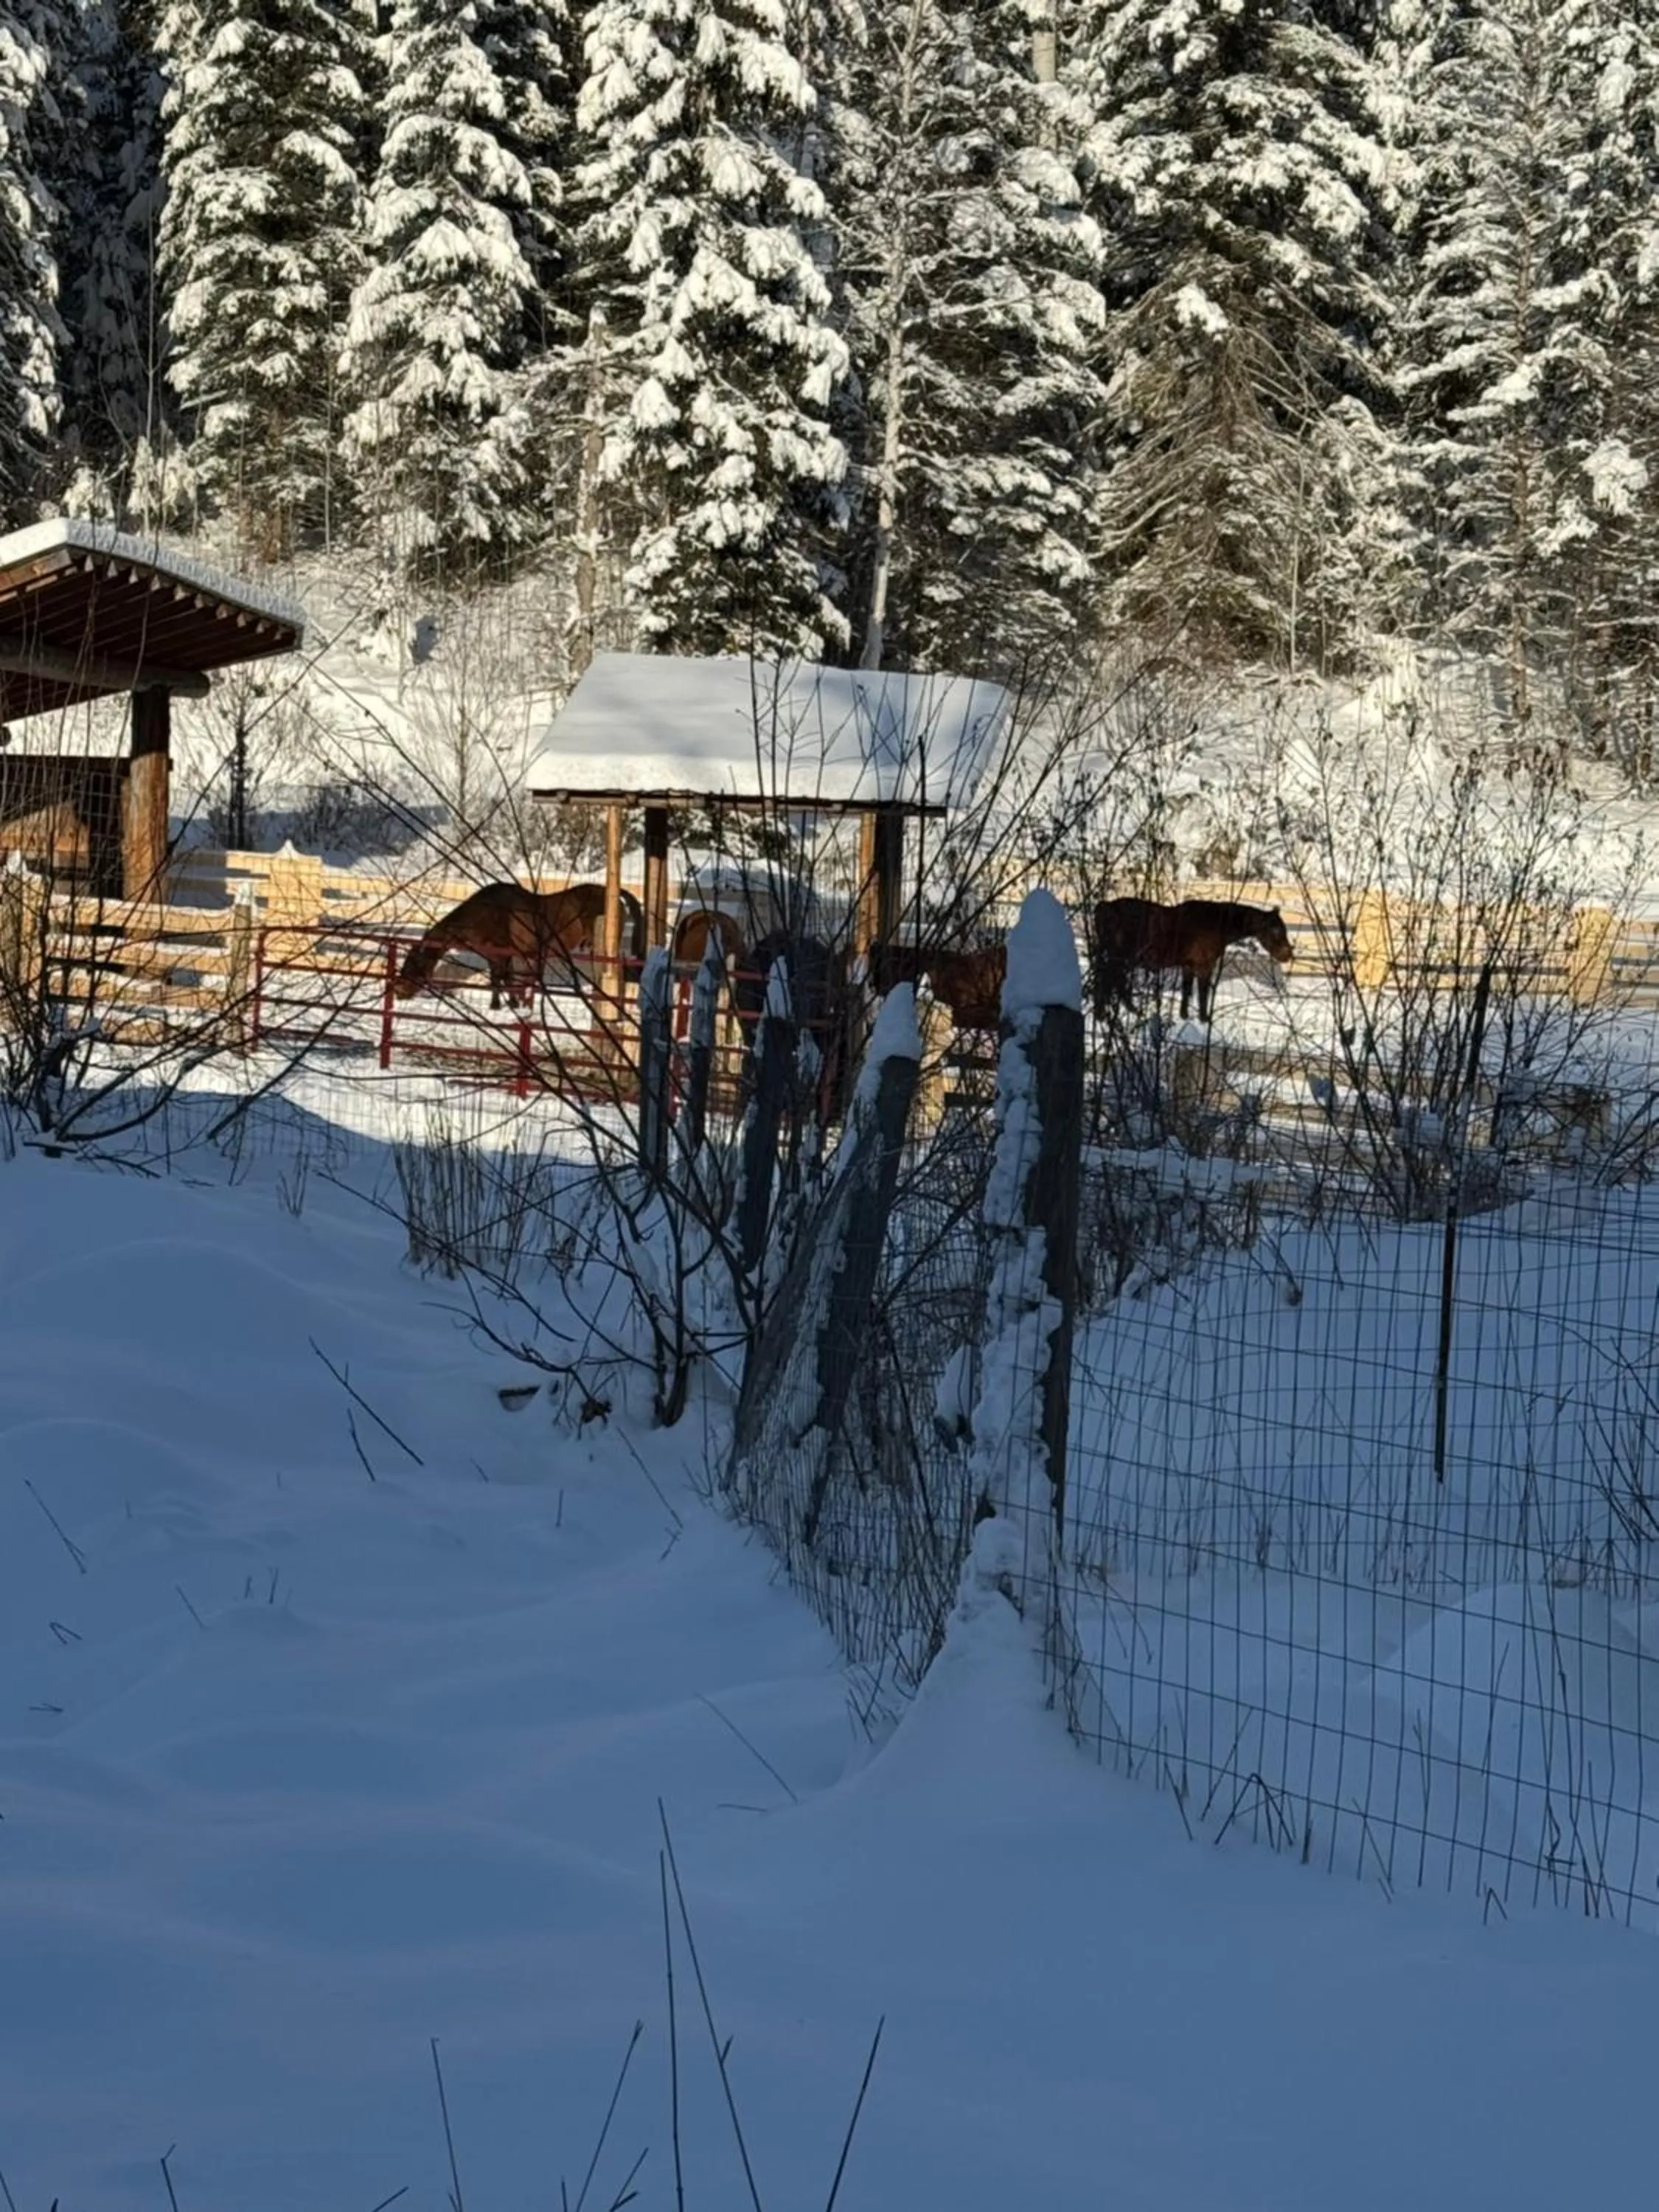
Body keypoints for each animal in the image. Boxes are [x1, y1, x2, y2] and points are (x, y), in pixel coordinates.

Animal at [395, 882, 644, 1009]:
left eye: (414, 964)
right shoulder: (495, 954)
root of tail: (612, 894)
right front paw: (512, 1003)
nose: (399, 992)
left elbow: (502, 978)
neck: (485, 913)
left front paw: (502, 1005)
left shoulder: (501, 952)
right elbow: (504, 979)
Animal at [1091, 896, 1293, 1025]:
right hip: (1119, 958)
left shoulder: (1188, 965)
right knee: (1106, 981)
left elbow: (1186, 990)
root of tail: (1105, 907)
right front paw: (1205, 1019)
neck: (1216, 924)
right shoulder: (1205, 965)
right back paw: (1101, 1016)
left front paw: (1184, 1016)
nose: (1288, 955)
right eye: (1276, 930)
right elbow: (1203, 993)